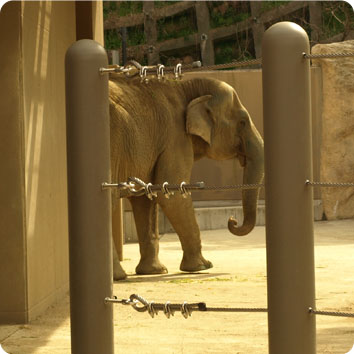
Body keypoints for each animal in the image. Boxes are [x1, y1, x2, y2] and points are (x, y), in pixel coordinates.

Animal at [109, 74, 264, 280]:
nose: (232, 220)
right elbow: (173, 197)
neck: (185, 87)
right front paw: (203, 266)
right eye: (243, 122)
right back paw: (118, 276)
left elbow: (146, 198)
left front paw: (155, 271)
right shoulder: (175, 138)